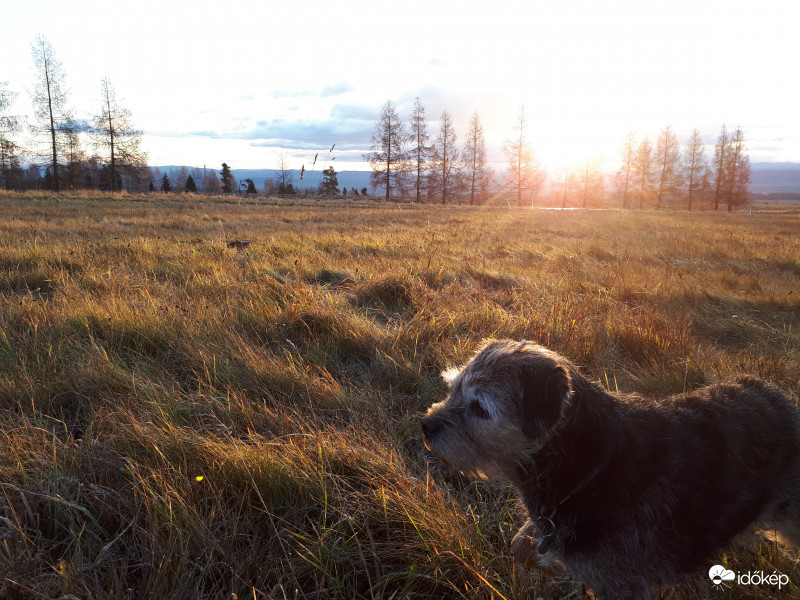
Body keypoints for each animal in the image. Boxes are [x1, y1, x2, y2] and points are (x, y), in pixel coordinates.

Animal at [418, 340, 800, 596]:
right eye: (453, 388)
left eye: (479, 408)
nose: (426, 424)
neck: (590, 467)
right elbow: (520, 545)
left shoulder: (621, 586)